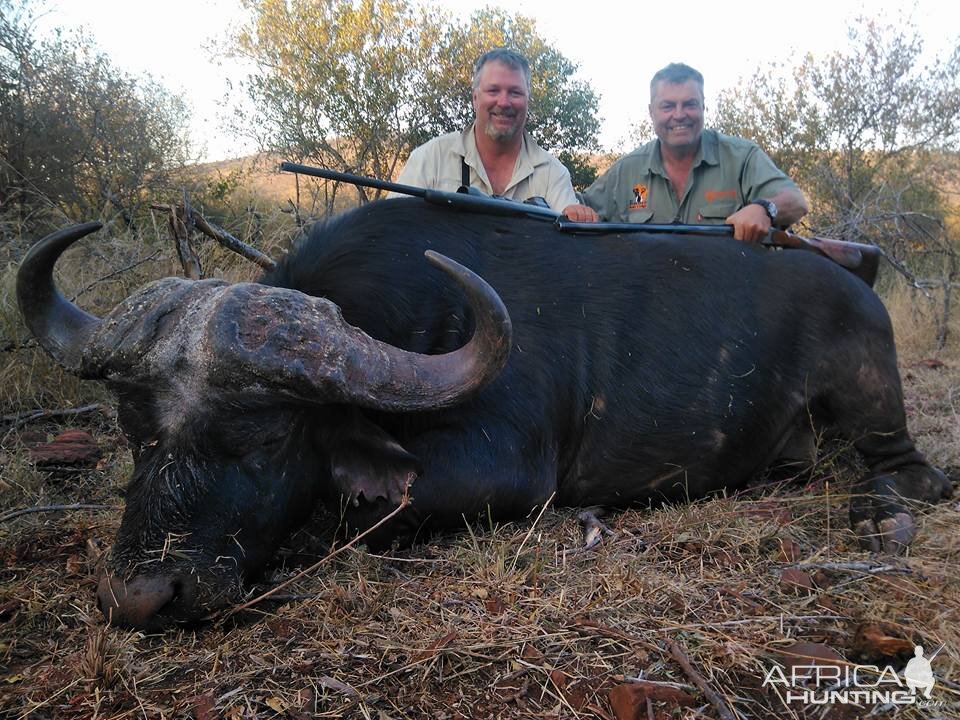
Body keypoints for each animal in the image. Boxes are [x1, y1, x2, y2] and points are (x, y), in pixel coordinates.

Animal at [16, 198, 952, 632]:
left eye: (263, 437)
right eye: (138, 433)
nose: (141, 597)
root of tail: (858, 289)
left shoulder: (505, 466)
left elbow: (357, 508)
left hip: (875, 408)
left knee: (914, 475)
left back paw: (882, 518)